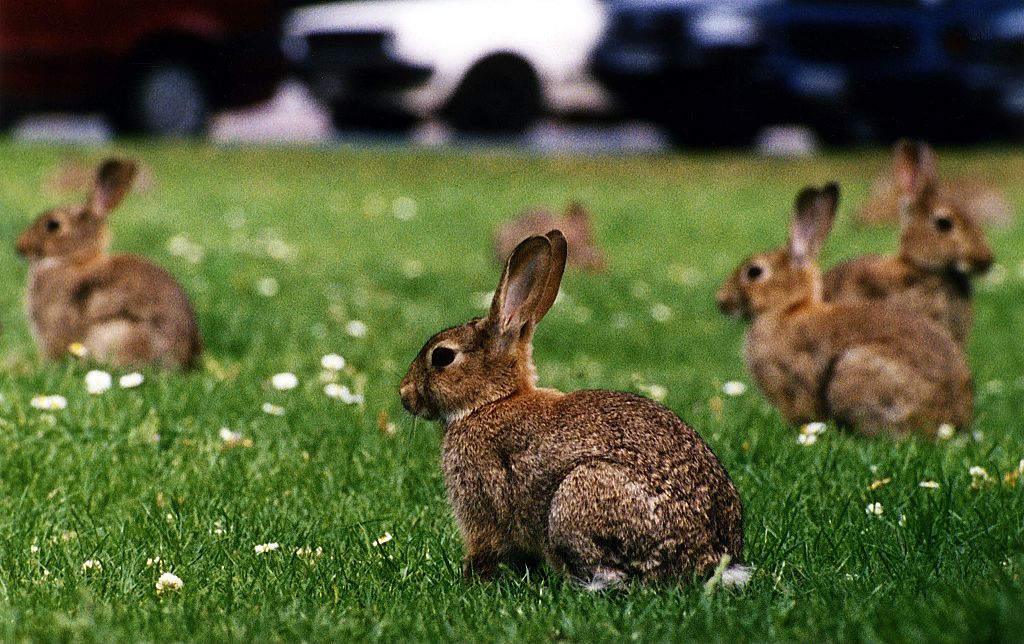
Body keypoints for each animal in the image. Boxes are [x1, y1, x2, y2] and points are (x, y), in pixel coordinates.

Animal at [400, 230, 746, 590]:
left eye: (442, 356)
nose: (404, 395)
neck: (491, 401)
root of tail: (707, 559)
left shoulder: (483, 512)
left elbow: (484, 552)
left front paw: (469, 580)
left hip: (577, 498)